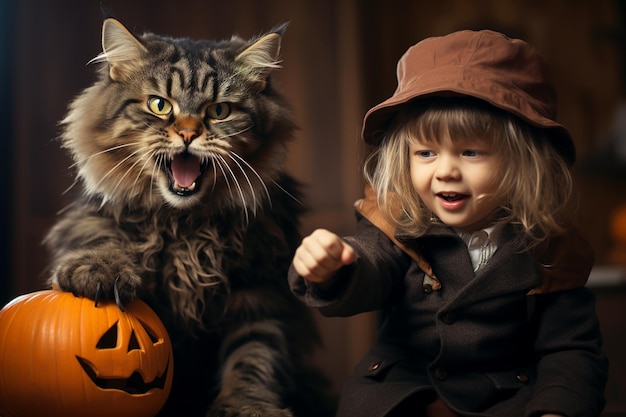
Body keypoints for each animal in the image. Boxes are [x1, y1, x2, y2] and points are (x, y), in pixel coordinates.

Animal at [44, 17, 334, 416]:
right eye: (159, 105)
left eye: (219, 111)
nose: (187, 134)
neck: (184, 224)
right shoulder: (93, 218)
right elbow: (107, 239)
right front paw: (97, 270)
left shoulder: (259, 291)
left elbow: (253, 357)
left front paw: (247, 406)